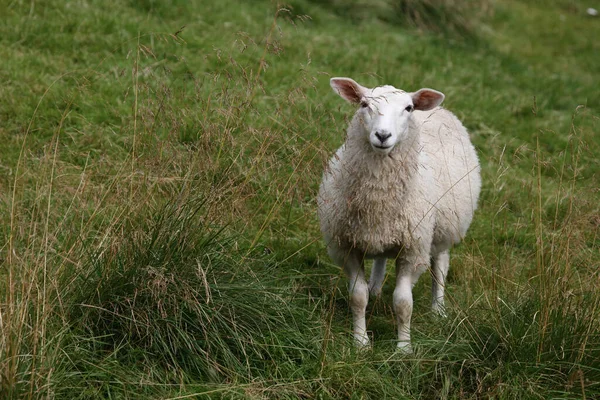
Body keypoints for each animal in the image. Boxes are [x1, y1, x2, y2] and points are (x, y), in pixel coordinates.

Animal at [316, 76, 480, 352]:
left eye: (408, 108)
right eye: (364, 104)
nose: (383, 135)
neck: (379, 197)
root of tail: (439, 109)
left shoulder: (413, 250)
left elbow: (403, 303)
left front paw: (404, 348)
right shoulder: (347, 247)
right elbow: (357, 297)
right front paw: (361, 343)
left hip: (443, 228)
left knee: (440, 266)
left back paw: (438, 310)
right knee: (381, 259)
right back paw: (375, 288)